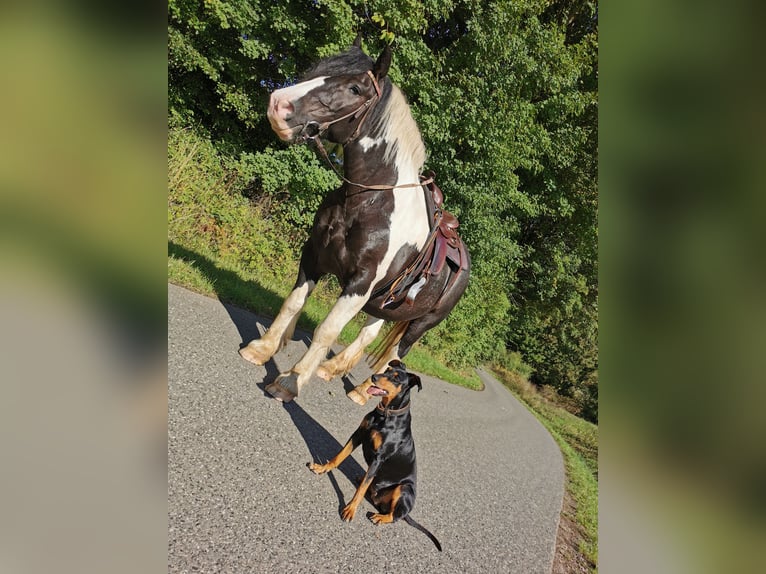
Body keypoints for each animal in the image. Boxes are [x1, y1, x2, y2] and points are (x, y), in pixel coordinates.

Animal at [240, 39, 472, 404]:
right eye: (317, 70)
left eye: (355, 88)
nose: (278, 105)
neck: (367, 201)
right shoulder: (314, 256)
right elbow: (293, 304)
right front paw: (262, 348)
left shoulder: (361, 283)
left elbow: (327, 330)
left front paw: (290, 381)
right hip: (388, 305)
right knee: (369, 334)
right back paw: (331, 370)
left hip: (421, 322)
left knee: (397, 353)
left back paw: (362, 391)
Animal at [308, 360, 440, 552]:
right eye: (388, 369)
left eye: (396, 378)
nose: (374, 377)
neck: (386, 414)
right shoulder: (358, 434)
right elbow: (339, 456)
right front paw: (322, 468)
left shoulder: (379, 458)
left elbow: (360, 490)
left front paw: (350, 510)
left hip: (405, 489)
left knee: (395, 516)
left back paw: (380, 517)